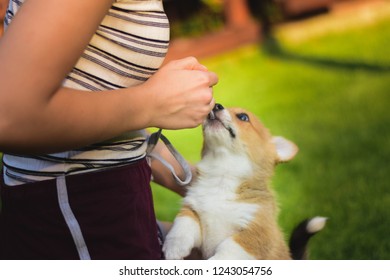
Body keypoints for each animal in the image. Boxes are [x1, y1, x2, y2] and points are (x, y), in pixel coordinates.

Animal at [163, 104, 300, 260]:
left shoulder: (255, 233)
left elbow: (227, 249)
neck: (222, 175)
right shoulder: (192, 209)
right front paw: (174, 248)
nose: (216, 105)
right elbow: (183, 224)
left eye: (243, 117)